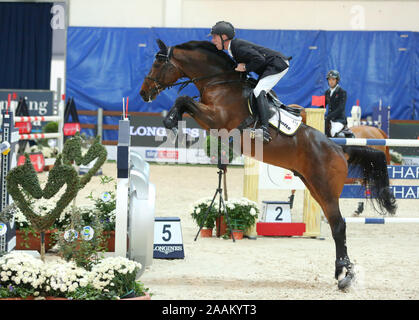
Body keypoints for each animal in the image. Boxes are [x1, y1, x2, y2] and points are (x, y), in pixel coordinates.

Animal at [140, 39, 398, 290]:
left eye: (157, 64)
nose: (144, 93)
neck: (218, 82)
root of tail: (338, 148)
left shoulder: (216, 119)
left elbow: (182, 99)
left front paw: (170, 121)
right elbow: (183, 101)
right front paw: (171, 120)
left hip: (326, 190)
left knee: (339, 225)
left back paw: (345, 276)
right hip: (314, 187)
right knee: (337, 224)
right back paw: (341, 272)